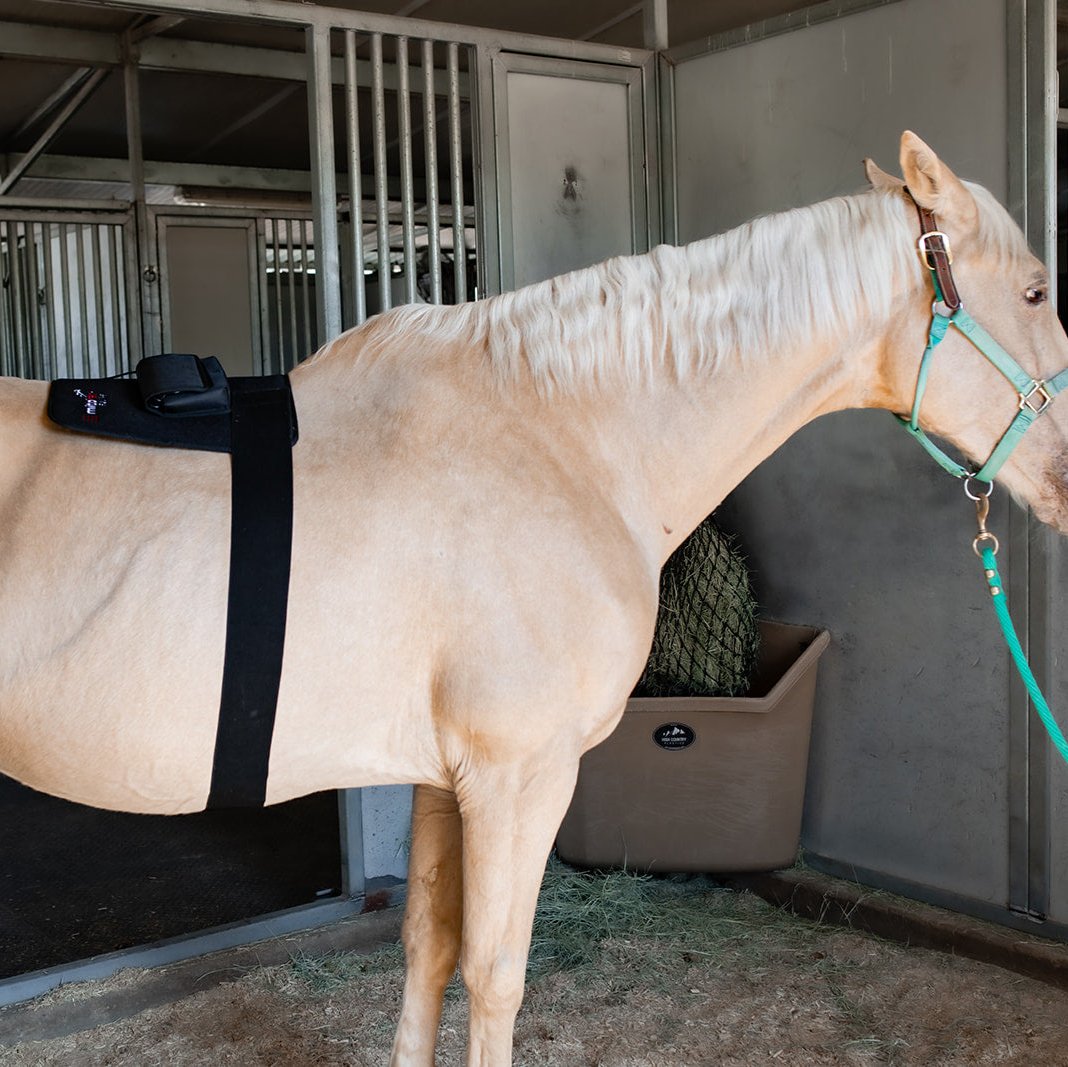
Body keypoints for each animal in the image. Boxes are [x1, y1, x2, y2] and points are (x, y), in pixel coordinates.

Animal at [2, 131, 1068, 1059]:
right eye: (1034, 288)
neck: (559, 438)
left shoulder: (443, 776)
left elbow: (428, 954)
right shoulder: (520, 774)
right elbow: (495, 975)